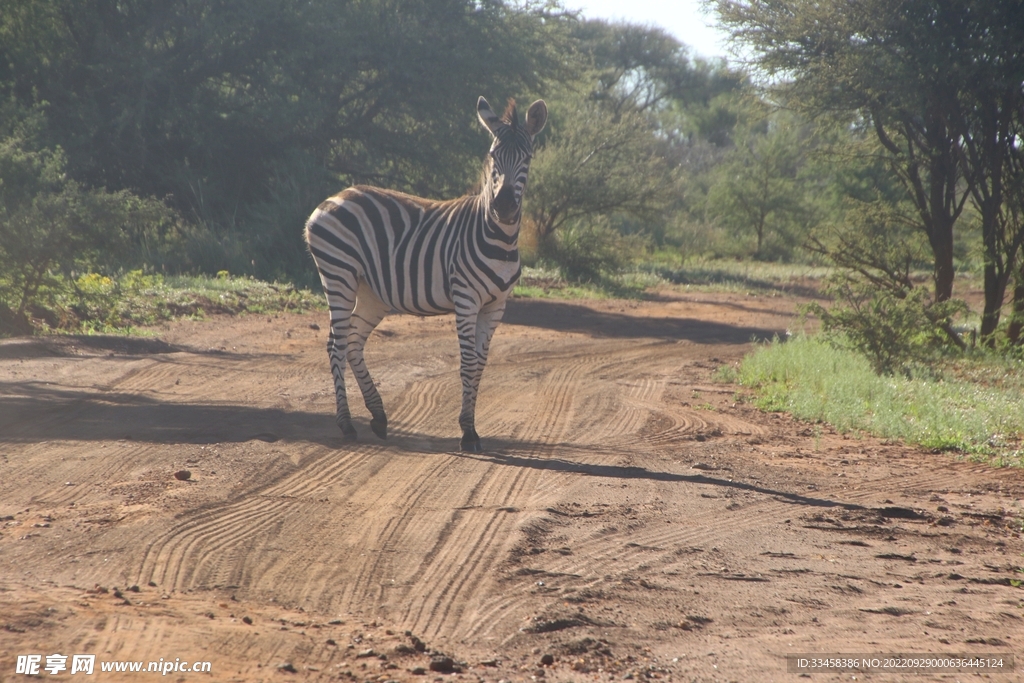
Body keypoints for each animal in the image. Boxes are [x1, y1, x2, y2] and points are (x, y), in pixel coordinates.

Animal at [303, 94, 548, 448]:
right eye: (493, 157)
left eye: (526, 158)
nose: (502, 206)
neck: (498, 238)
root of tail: (336, 196)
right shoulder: (466, 298)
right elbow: (468, 362)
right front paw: (468, 432)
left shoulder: (497, 305)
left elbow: (481, 364)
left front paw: (471, 428)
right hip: (339, 274)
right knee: (336, 345)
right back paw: (347, 424)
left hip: (371, 292)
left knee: (352, 341)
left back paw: (378, 416)